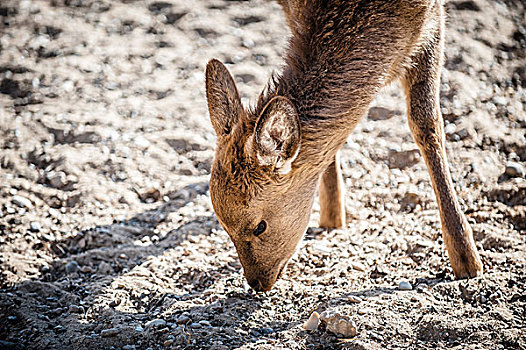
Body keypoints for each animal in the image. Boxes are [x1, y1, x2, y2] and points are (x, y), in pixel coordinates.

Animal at [204, 0, 484, 292]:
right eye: (223, 225)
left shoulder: (433, 20)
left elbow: (427, 124)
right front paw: (332, 217)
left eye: (260, 226)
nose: (256, 282)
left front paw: (467, 260)